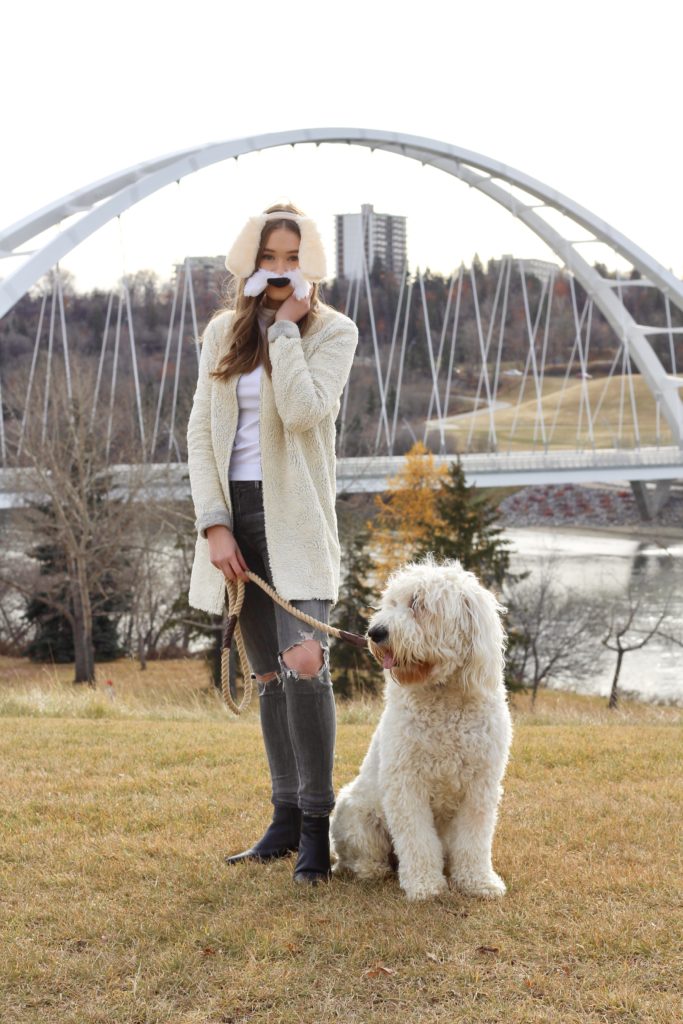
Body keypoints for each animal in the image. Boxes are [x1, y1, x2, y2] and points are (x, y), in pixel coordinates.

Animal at [331, 557, 511, 901]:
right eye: (391, 603)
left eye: (419, 605)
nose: (375, 632)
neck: (443, 697)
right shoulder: (407, 784)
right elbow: (417, 841)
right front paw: (425, 885)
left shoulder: (480, 787)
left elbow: (474, 841)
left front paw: (478, 881)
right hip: (354, 812)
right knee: (363, 854)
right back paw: (371, 870)